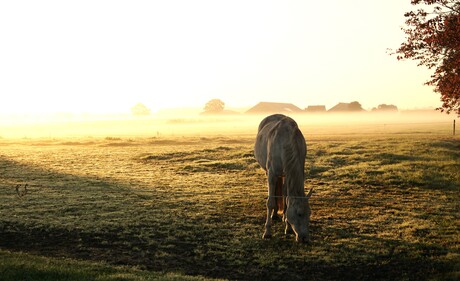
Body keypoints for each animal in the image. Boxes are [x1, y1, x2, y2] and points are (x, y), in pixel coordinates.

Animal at [253, 114, 314, 243]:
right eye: (299, 214)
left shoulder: (288, 175)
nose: (304, 238)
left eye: (310, 213)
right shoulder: (271, 174)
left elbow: (286, 199)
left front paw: (288, 227)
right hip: (269, 172)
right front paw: (267, 232)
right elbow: (270, 202)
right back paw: (274, 214)